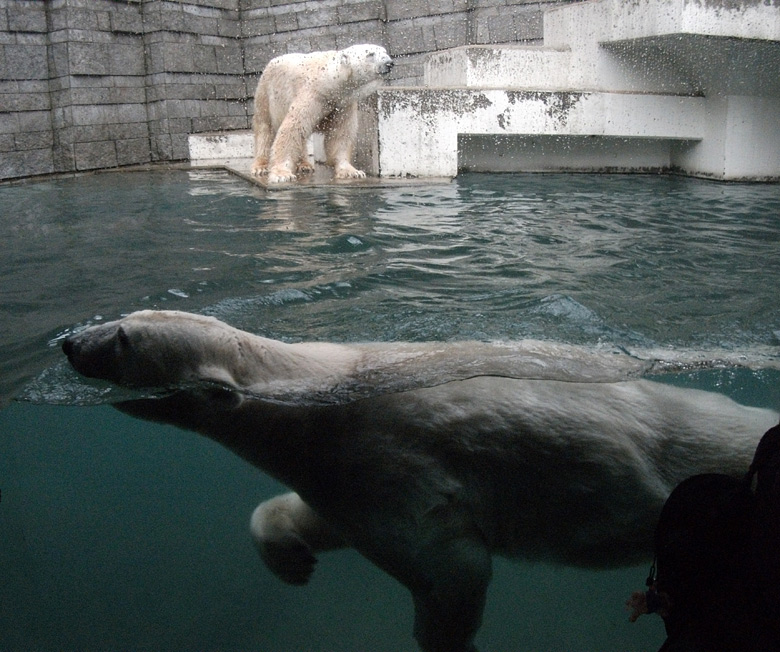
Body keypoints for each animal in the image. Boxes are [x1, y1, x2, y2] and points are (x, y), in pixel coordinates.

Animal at [251, 45, 394, 183]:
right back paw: (260, 166)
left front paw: (351, 171)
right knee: (265, 128)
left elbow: (340, 134)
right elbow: (293, 128)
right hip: (265, 92)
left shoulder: (342, 103)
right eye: (370, 54)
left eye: (385, 51)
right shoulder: (313, 95)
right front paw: (282, 174)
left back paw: (304, 165)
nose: (389, 63)